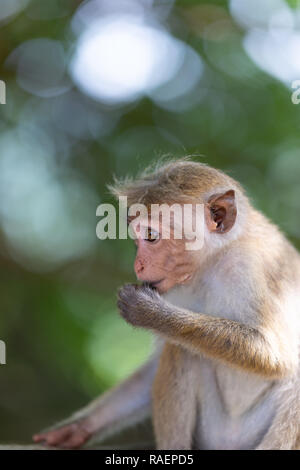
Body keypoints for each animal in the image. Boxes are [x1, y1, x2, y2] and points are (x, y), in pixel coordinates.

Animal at [32, 160, 300, 450]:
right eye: (136, 238)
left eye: (150, 235)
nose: (138, 265)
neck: (210, 264)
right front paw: (77, 427)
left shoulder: (249, 267)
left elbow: (274, 356)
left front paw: (149, 313)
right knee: (181, 351)